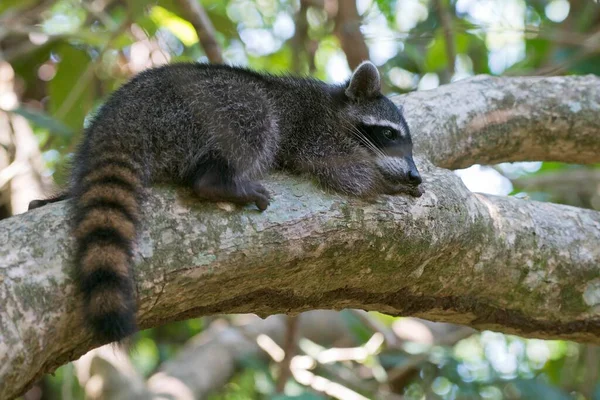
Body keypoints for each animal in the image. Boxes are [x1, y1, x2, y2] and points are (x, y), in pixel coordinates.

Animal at [28, 61, 422, 342]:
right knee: (256, 110)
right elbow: (338, 170)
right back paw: (217, 181)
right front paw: (382, 185)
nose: (415, 176)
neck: (335, 107)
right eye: (389, 135)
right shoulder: (315, 131)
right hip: (199, 106)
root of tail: (122, 114)